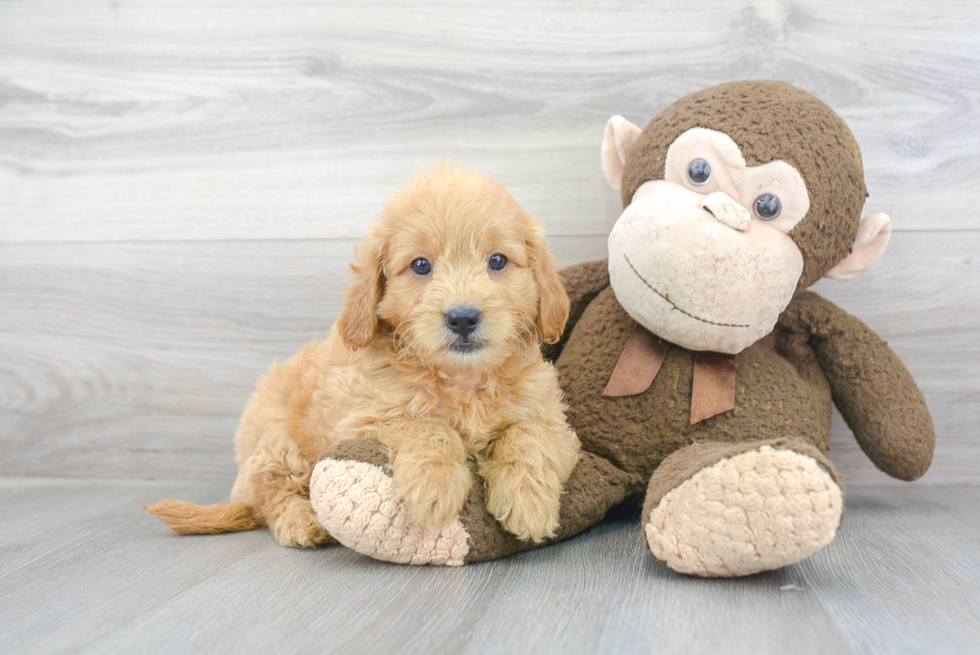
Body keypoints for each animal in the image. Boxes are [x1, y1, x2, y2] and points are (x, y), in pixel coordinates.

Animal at [145, 165, 580, 548]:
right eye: (420, 265)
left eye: (498, 261)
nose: (462, 317)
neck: (461, 377)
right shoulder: (363, 418)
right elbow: (423, 424)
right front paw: (435, 487)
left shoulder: (553, 420)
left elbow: (527, 433)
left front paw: (529, 501)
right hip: (277, 446)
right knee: (271, 498)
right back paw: (301, 521)